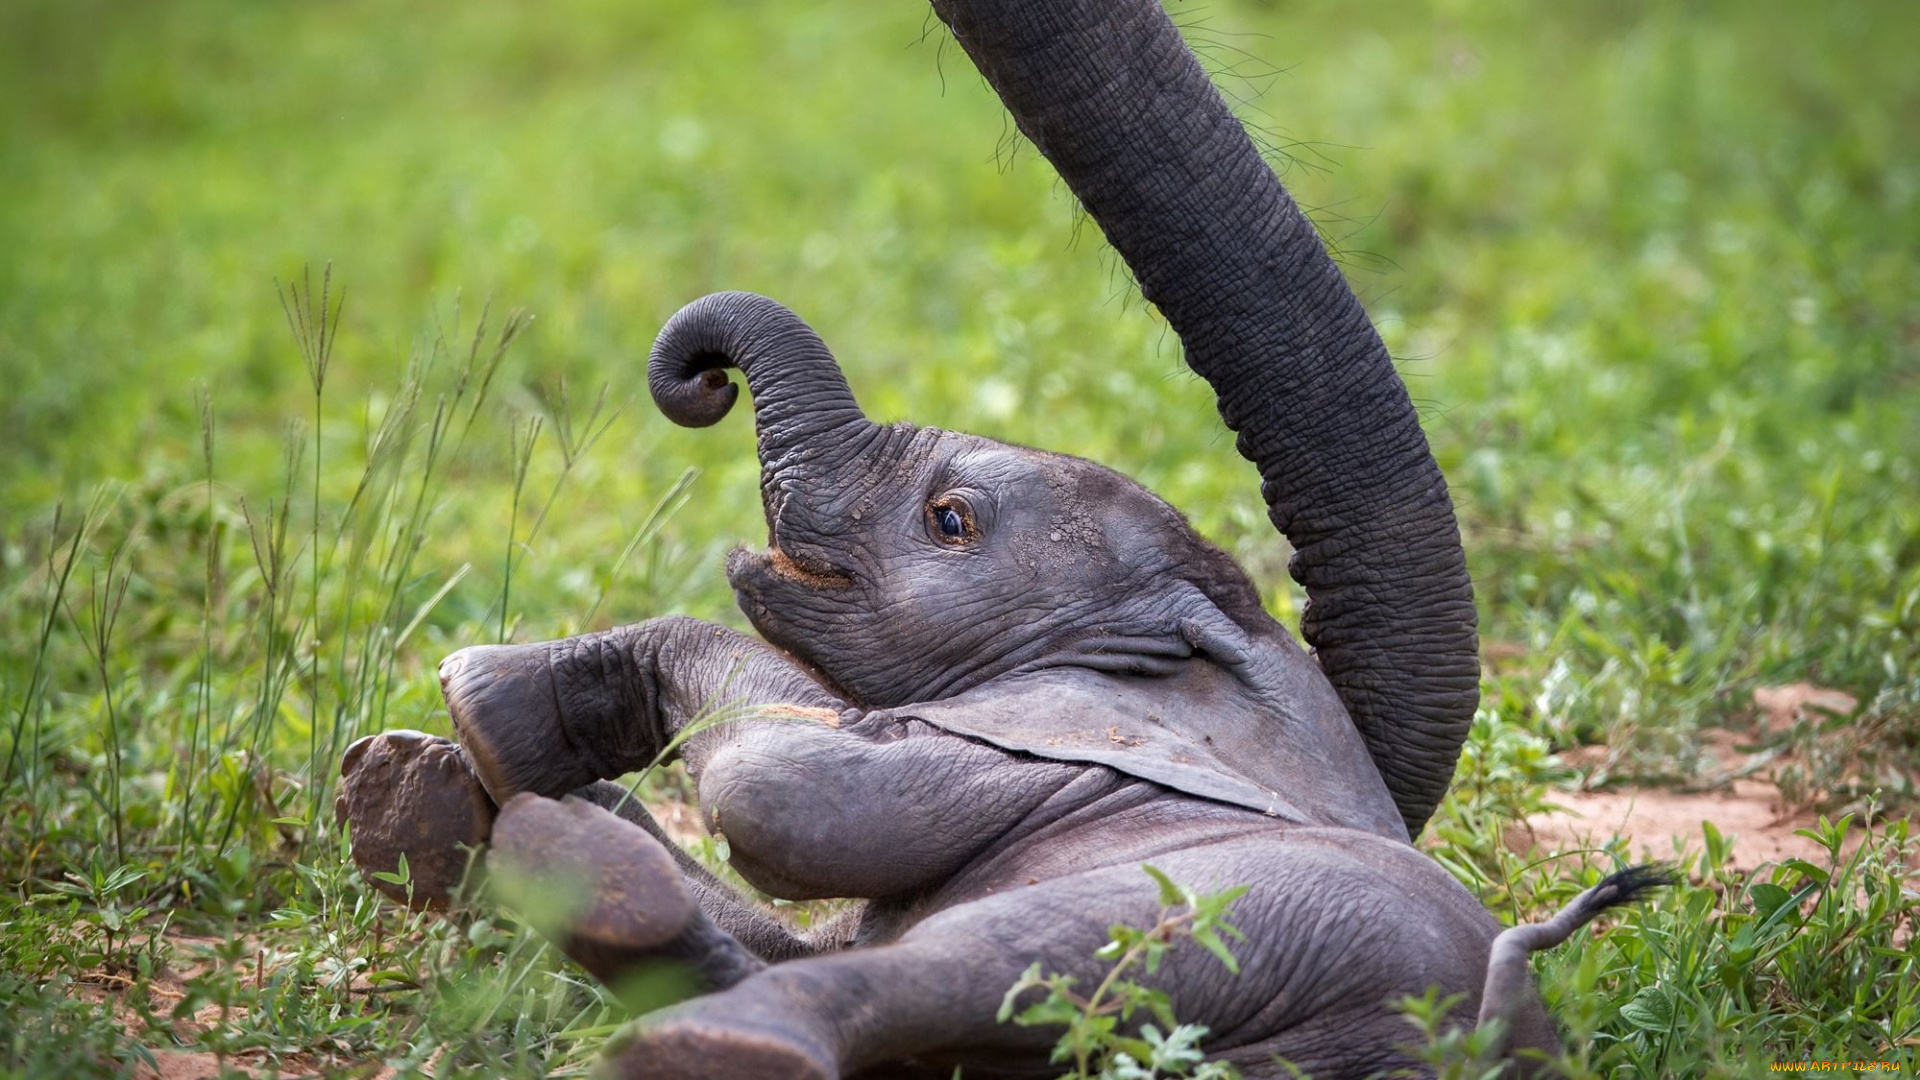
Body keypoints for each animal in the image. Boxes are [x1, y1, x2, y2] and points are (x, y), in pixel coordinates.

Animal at [336, 0, 1665, 1077]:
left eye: (950, 519)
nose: (700, 375)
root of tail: (1475, 1027)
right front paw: (431, 770)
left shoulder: (1052, 743)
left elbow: (804, 794)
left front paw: (481, 705)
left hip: (1259, 917)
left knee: (990, 958)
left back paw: (684, 1013)